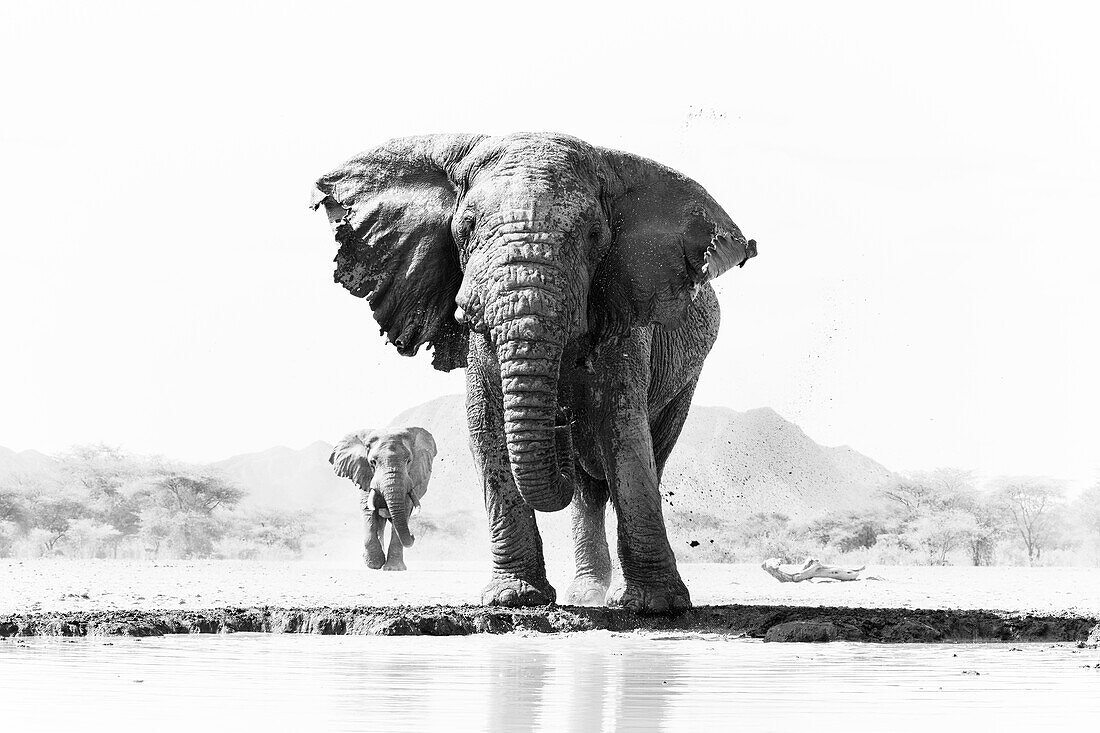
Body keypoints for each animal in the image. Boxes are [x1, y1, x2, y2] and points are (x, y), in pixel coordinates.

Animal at [310, 132, 756, 611]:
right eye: (465, 229)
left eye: (595, 236)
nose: (562, 421)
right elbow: (486, 425)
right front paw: (514, 598)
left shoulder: (629, 317)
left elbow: (622, 426)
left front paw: (657, 606)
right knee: (586, 486)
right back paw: (585, 594)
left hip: (685, 379)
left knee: (644, 452)